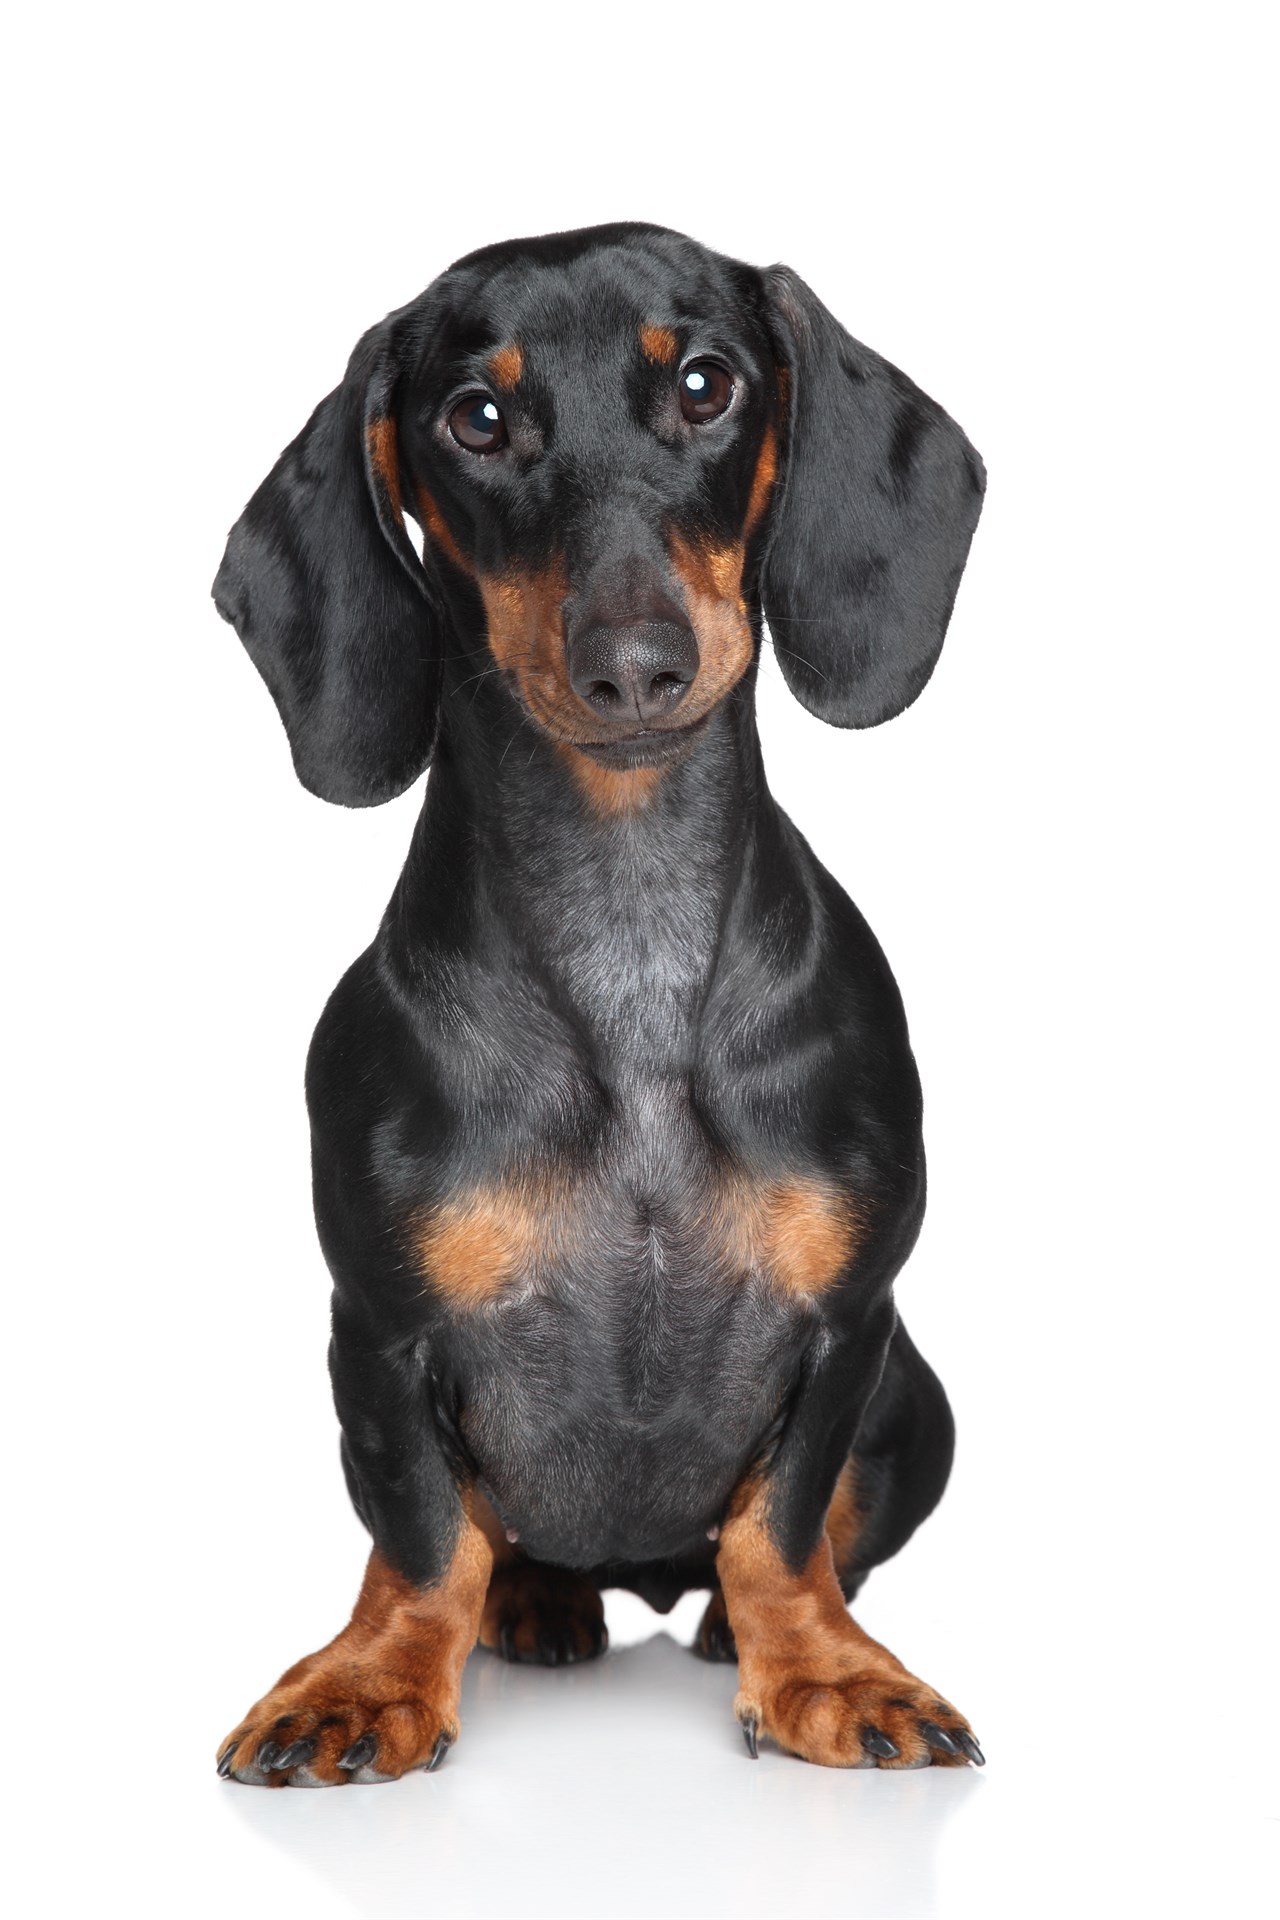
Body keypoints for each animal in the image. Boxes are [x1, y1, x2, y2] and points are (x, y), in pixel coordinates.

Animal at [214, 224, 990, 1781]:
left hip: (921, 1408)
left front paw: (820, 1671)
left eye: (704, 384)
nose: (634, 666)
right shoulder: (377, 1334)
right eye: (477, 417)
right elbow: (422, 1537)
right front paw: (373, 1680)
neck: (627, 951)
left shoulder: (851, 1327)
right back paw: (536, 1604)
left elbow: (783, 1531)